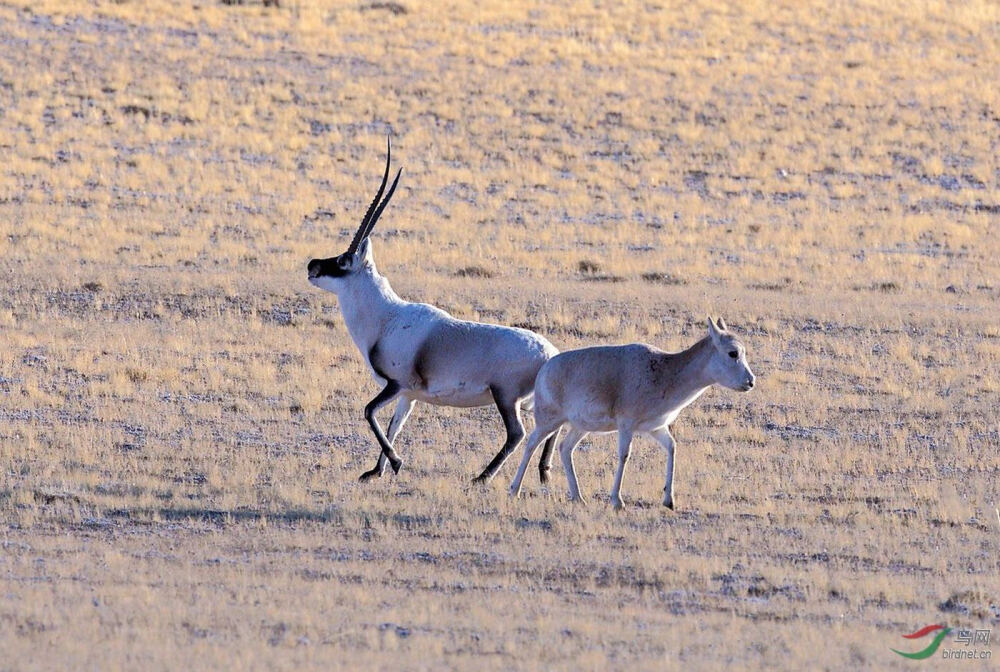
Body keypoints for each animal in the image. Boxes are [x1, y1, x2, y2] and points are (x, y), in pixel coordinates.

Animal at [304, 138, 560, 484]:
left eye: (344, 260)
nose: (312, 265)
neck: (387, 317)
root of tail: (550, 354)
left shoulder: (396, 384)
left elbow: (369, 412)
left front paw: (396, 462)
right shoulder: (408, 395)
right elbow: (393, 426)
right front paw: (376, 470)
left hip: (505, 397)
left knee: (517, 433)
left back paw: (483, 477)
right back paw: (544, 473)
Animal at [512, 318, 752, 510]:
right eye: (733, 353)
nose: (751, 381)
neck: (665, 373)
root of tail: (545, 368)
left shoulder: (656, 428)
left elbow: (672, 448)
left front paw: (669, 500)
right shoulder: (627, 426)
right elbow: (624, 455)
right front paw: (617, 501)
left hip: (580, 427)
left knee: (565, 448)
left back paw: (578, 497)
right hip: (549, 421)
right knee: (531, 444)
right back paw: (514, 489)